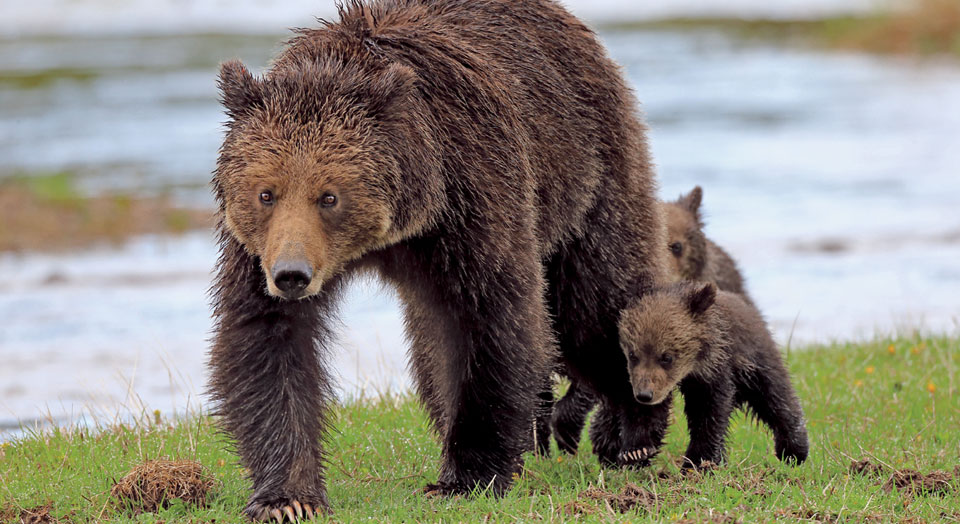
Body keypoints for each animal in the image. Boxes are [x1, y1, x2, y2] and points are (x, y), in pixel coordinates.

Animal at [210, 0, 664, 516]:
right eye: (266, 193)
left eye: (329, 196)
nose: (292, 276)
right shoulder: (255, 251)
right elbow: (268, 341)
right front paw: (288, 497)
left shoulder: (469, 196)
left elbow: (489, 320)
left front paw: (466, 476)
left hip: (585, 172)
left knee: (596, 302)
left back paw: (634, 433)